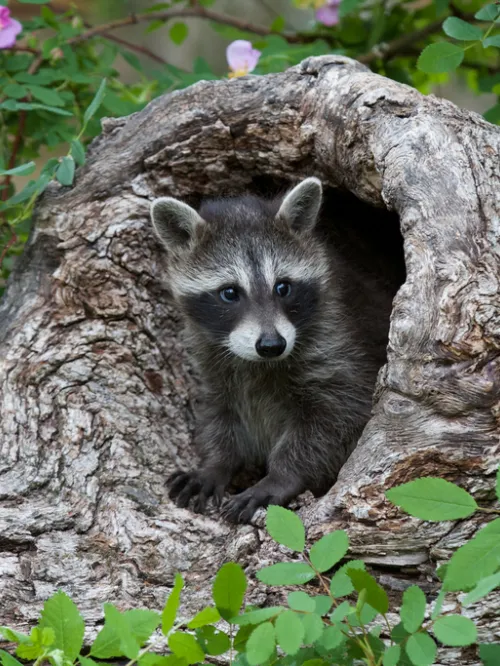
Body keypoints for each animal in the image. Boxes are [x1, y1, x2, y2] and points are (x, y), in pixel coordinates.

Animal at [150, 178, 393, 523]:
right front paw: (215, 463)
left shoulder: (338, 346)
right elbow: (219, 415)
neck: (256, 363)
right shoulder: (213, 366)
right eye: (229, 293)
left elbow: (337, 419)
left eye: (283, 287)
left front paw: (281, 476)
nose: (271, 345)